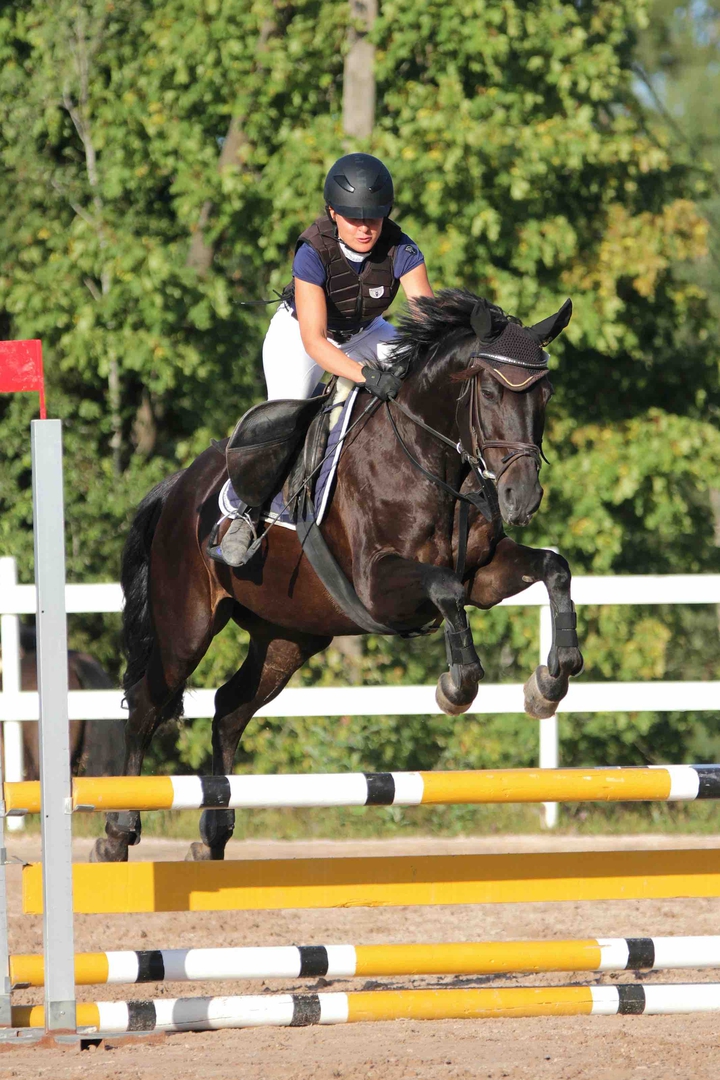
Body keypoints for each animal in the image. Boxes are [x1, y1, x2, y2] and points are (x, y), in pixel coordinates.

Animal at [91, 289, 583, 863]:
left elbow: (553, 568)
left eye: (545, 393)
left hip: (289, 636)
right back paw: (118, 832)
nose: (521, 498)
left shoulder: (483, 575)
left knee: (230, 709)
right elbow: (444, 591)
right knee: (147, 702)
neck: (433, 462)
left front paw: (551, 680)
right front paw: (457, 685)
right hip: (186, 628)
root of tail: (178, 487)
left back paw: (213, 834)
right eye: (487, 390)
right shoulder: (378, 589)